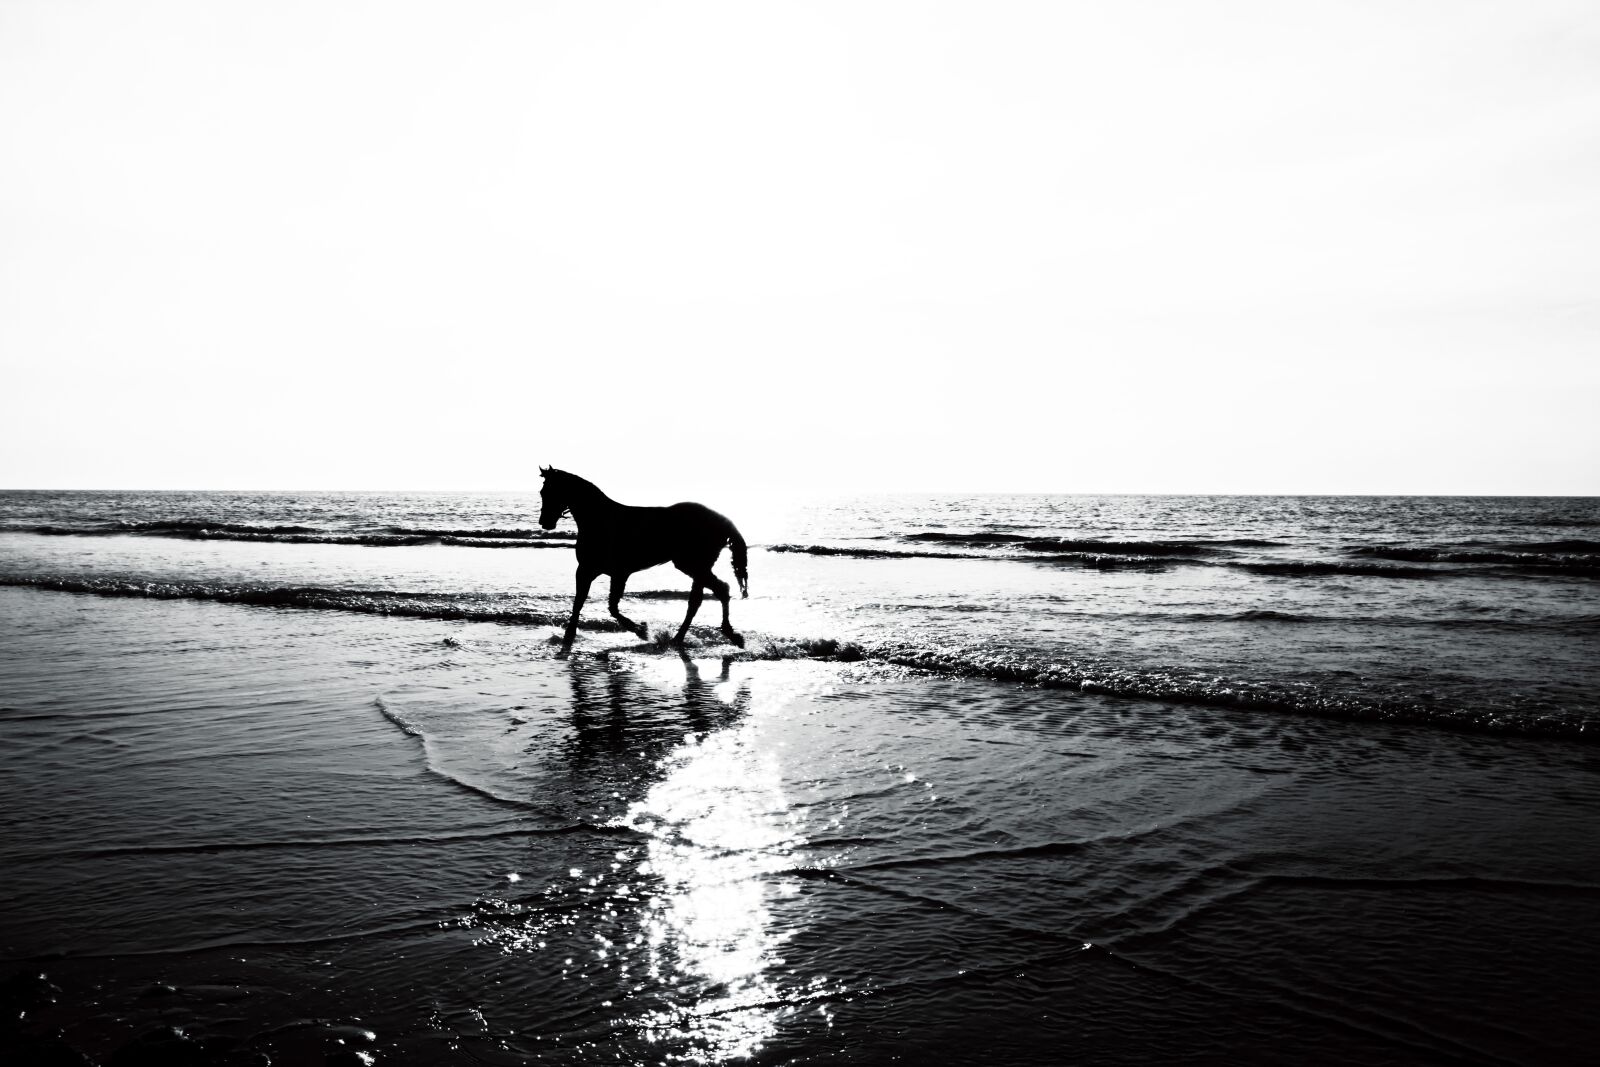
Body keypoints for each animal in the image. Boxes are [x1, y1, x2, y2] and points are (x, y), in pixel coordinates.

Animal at [538, 467, 749, 654]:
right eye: (542, 492)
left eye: (552, 491)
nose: (544, 522)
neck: (601, 519)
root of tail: (722, 520)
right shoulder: (587, 570)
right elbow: (580, 602)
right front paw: (569, 635)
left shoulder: (616, 573)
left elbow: (611, 607)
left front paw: (642, 631)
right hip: (697, 567)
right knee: (703, 598)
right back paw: (686, 638)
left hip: (693, 565)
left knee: (718, 591)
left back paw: (726, 635)